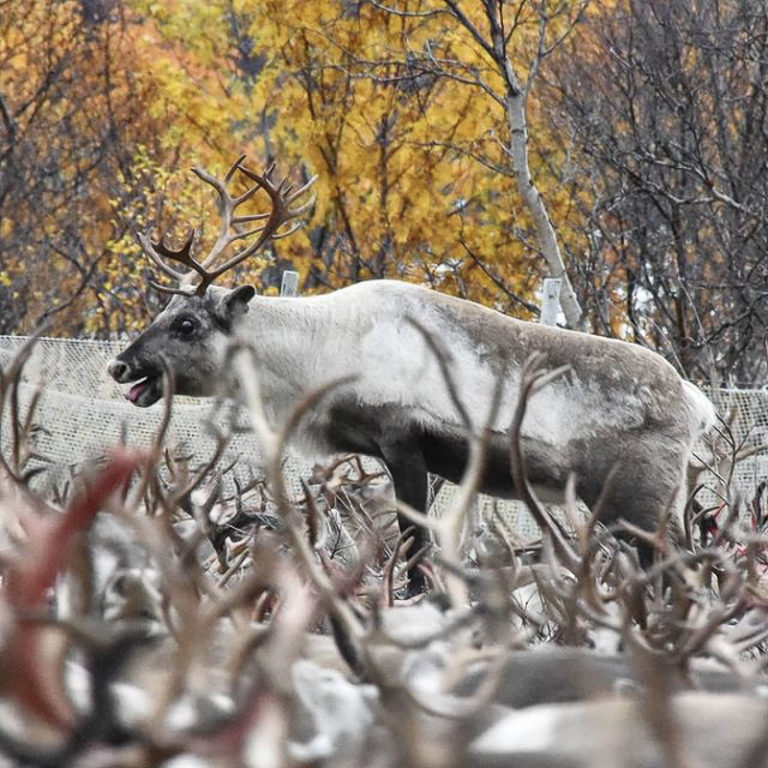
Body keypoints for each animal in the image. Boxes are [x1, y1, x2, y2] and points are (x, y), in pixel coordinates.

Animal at [108, 154, 716, 595]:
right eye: (163, 310)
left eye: (186, 323)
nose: (120, 365)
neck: (322, 352)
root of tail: (696, 403)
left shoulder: (404, 443)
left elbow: (416, 548)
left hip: (639, 498)